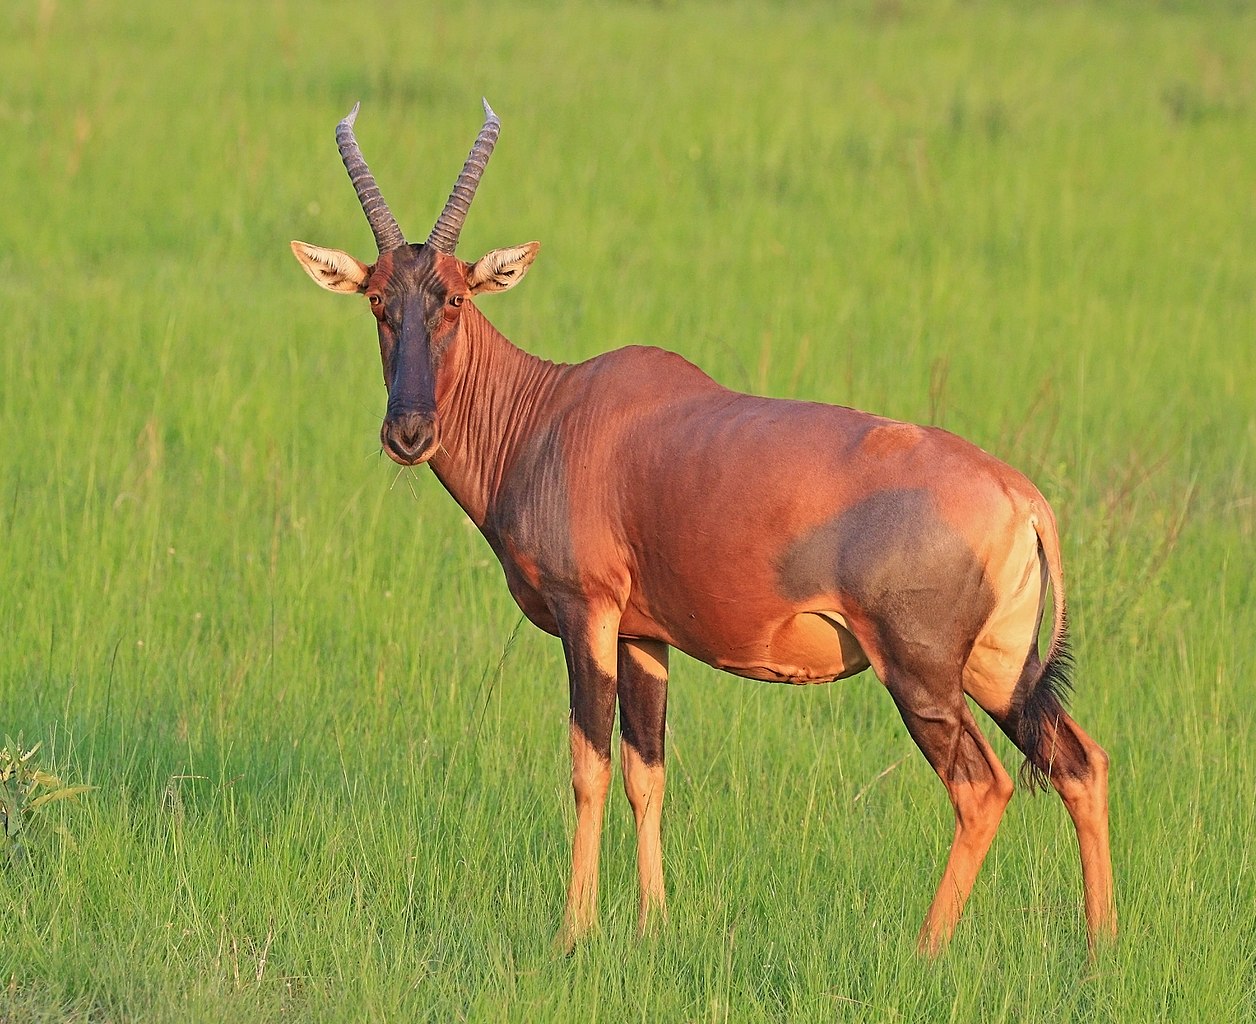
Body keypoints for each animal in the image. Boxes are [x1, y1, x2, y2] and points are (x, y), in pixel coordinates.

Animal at [291, 99, 1120, 954]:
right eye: (378, 300)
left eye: (454, 297)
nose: (409, 433)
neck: (553, 410)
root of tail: (1019, 495)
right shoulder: (643, 635)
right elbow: (645, 770)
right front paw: (652, 923)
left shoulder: (586, 613)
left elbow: (587, 765)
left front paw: (574, 932)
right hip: (1000, 668)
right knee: (1080, 764)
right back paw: (1100, 949)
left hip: (920, 673)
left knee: (982, 787)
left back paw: (925, 952)